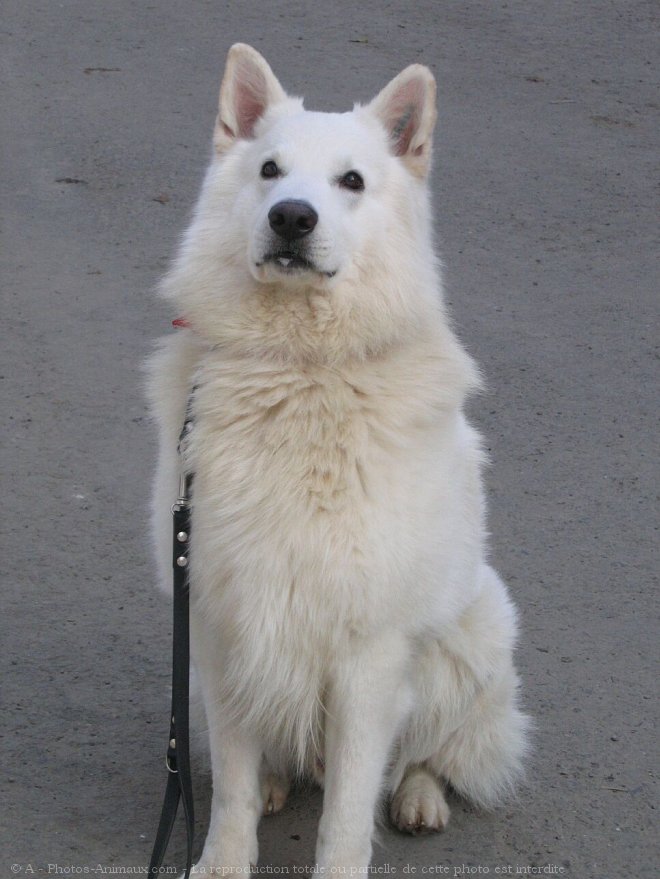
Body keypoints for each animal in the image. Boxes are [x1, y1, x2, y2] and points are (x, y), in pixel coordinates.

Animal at [147, 46, 528, 872]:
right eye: (269, 170)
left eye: (351, 181)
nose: (292, 215)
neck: (302, 369)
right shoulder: (223, 628)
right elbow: (231, 786)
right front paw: (222, 860)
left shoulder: (369, 656)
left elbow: (350, 804)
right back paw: (280, 781)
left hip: (474, 630)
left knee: (430, 752)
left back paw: (419, 797)